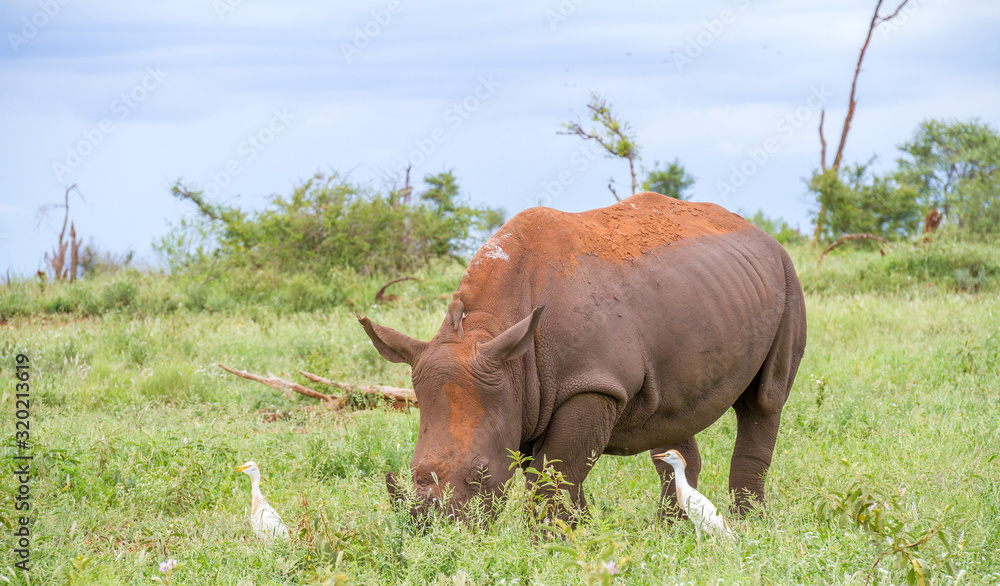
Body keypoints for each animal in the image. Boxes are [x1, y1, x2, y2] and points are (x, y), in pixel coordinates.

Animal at [359, 191, 807, 523]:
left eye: (482, 473)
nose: (432, 530)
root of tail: (760, 231)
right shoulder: (522, 392)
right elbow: (557, 476)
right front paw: (580, 532)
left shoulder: (592, 384)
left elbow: (555, 471)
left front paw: (551, 542)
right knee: (672, 416)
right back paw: (671, 528)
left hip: (788, 277)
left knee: (765, 401)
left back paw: (748, 523)